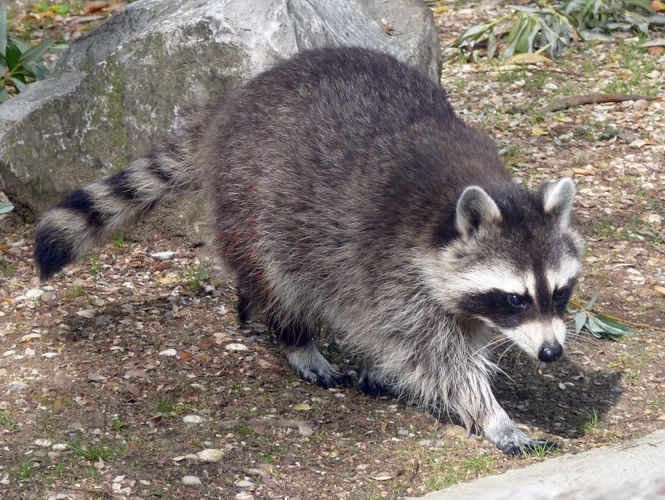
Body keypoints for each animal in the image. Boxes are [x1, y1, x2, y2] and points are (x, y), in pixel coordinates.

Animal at [34, 47, 583, 455]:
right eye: (514, 298)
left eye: (559, 293)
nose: (552, 353)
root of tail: (229, 106)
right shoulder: (388, 260)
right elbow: (434, 354)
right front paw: (492, 414)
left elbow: (447, 336)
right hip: (252, 194)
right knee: (276, 275)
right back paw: (295, 338)